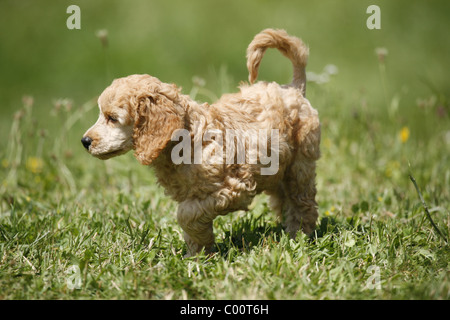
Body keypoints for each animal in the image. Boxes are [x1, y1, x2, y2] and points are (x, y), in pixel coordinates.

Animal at [81, 28, 320, 256]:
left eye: (112, 118)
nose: (85, 141)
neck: (186, 139)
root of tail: (293, 88)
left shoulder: (233, 188)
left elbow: (186, 214)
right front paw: (196, 255)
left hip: (300, 166)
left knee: (302, 203)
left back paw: (298, 236)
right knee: (283, 198)